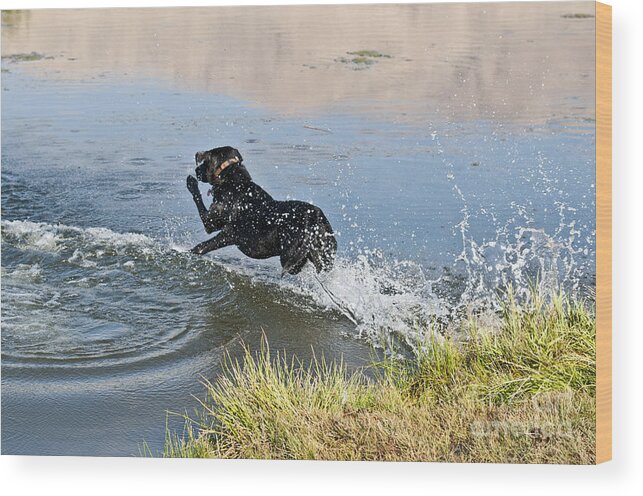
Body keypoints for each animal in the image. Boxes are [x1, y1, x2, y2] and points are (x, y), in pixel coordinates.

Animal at [186, 145, 338, 276]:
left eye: (203, 163)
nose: (196, 171)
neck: (234, 181)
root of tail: (314, 219)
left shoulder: (216, 227)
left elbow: (202, 243)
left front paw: (191, 182)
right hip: (325, 250)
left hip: (289, 255)